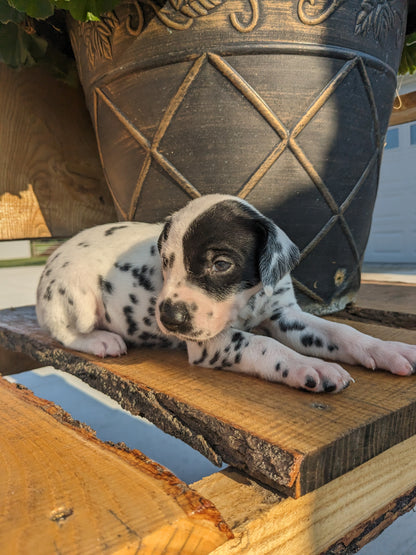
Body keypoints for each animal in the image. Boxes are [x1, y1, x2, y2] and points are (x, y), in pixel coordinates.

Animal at [36, 193, 416, 394]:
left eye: (221, 264)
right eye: (166, 262)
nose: (168, 318)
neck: (248, 299)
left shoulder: (287, 316)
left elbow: (341, 332)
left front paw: (387, 350)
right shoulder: (211, 342)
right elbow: (265, 345)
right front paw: (311, 367)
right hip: (77, 297)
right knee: (64, 333)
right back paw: (102, 340)